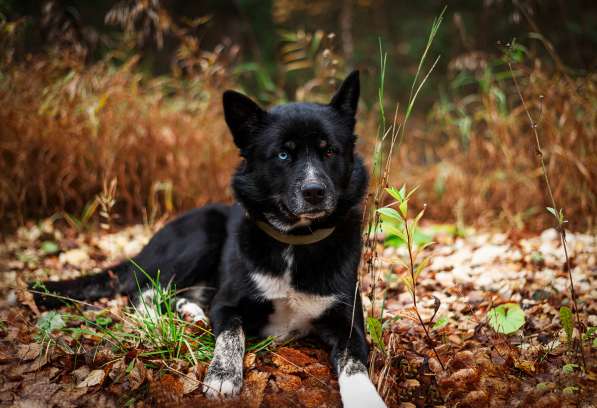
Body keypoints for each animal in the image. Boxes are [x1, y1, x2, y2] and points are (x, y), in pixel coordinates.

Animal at [32, 71, 386, 406]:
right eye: (283, 155)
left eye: (330, 151)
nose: (314, 192)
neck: (295, 242)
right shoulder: (227, 305)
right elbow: (231, 336)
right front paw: (223, 375)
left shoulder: (348, 323)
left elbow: (354, 364)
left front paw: (366, 398)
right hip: (201, 236)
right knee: (142, 291)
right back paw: (158, 319)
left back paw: (190, 311)